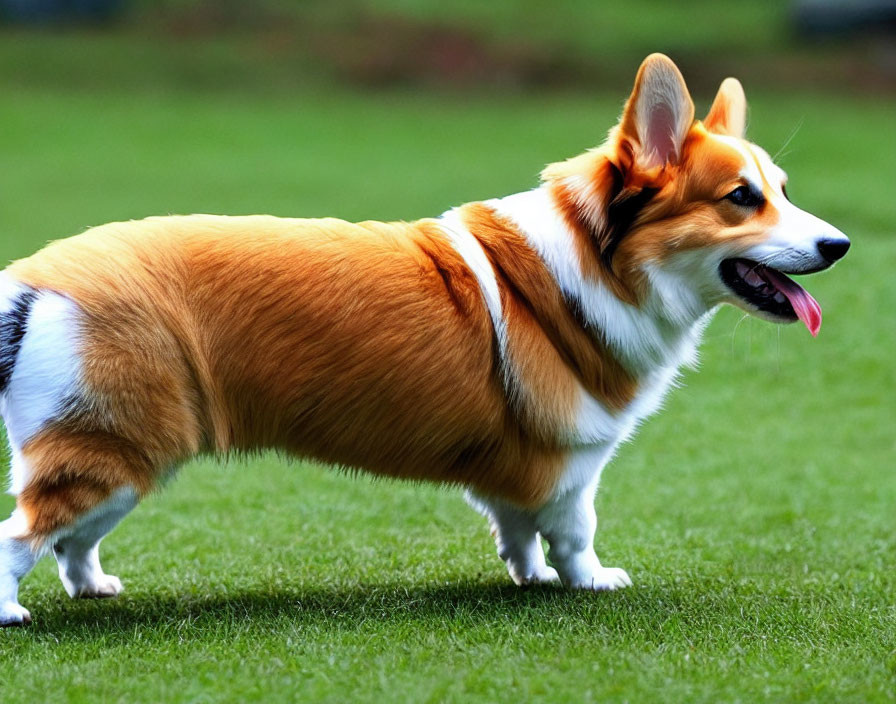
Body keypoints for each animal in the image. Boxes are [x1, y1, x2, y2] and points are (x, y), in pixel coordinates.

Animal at [0, 56, 848, 628]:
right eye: (741, 199)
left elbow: (518, 529)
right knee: (18, 535)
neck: (597, 262)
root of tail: (34, 278)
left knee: (69, 540)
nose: (840, 245)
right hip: (112, 455)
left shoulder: (524, 464)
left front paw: (529, 577)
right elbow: (575, 532)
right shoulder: (575, 462)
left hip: (127, 458)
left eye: (784, 191)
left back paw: (94, 588)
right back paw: (13, 616)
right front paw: (589, 580)